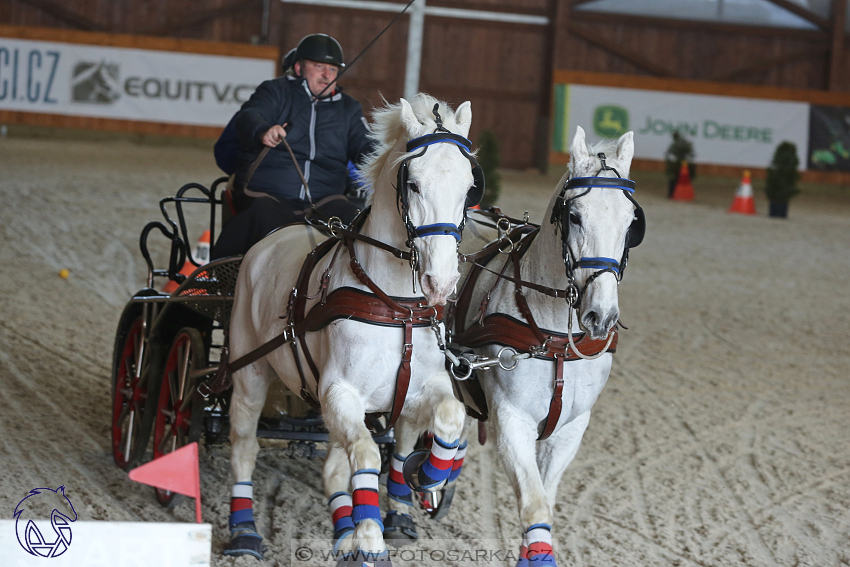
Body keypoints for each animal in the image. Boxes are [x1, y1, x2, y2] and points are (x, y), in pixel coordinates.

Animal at [224, 95, 470, 564]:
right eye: (414, 185)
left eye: (469, 189)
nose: (442, 282)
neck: (395, 306)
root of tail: (274, 236)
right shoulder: (339, 392)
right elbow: (368, 455)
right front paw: (371, 538)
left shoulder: (419, 388)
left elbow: (450, 416)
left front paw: (429, 477)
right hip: (248, 374)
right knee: (244, 445)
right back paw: (244, 531)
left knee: (333, 466)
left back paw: (342, 534)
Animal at [454, 129, 640, 567]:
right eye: (575, 216)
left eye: (631, 223)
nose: (602, 316)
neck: (553, 340)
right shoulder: (511, 421)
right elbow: (534, 503)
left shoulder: (570, 428)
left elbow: (548, 500)